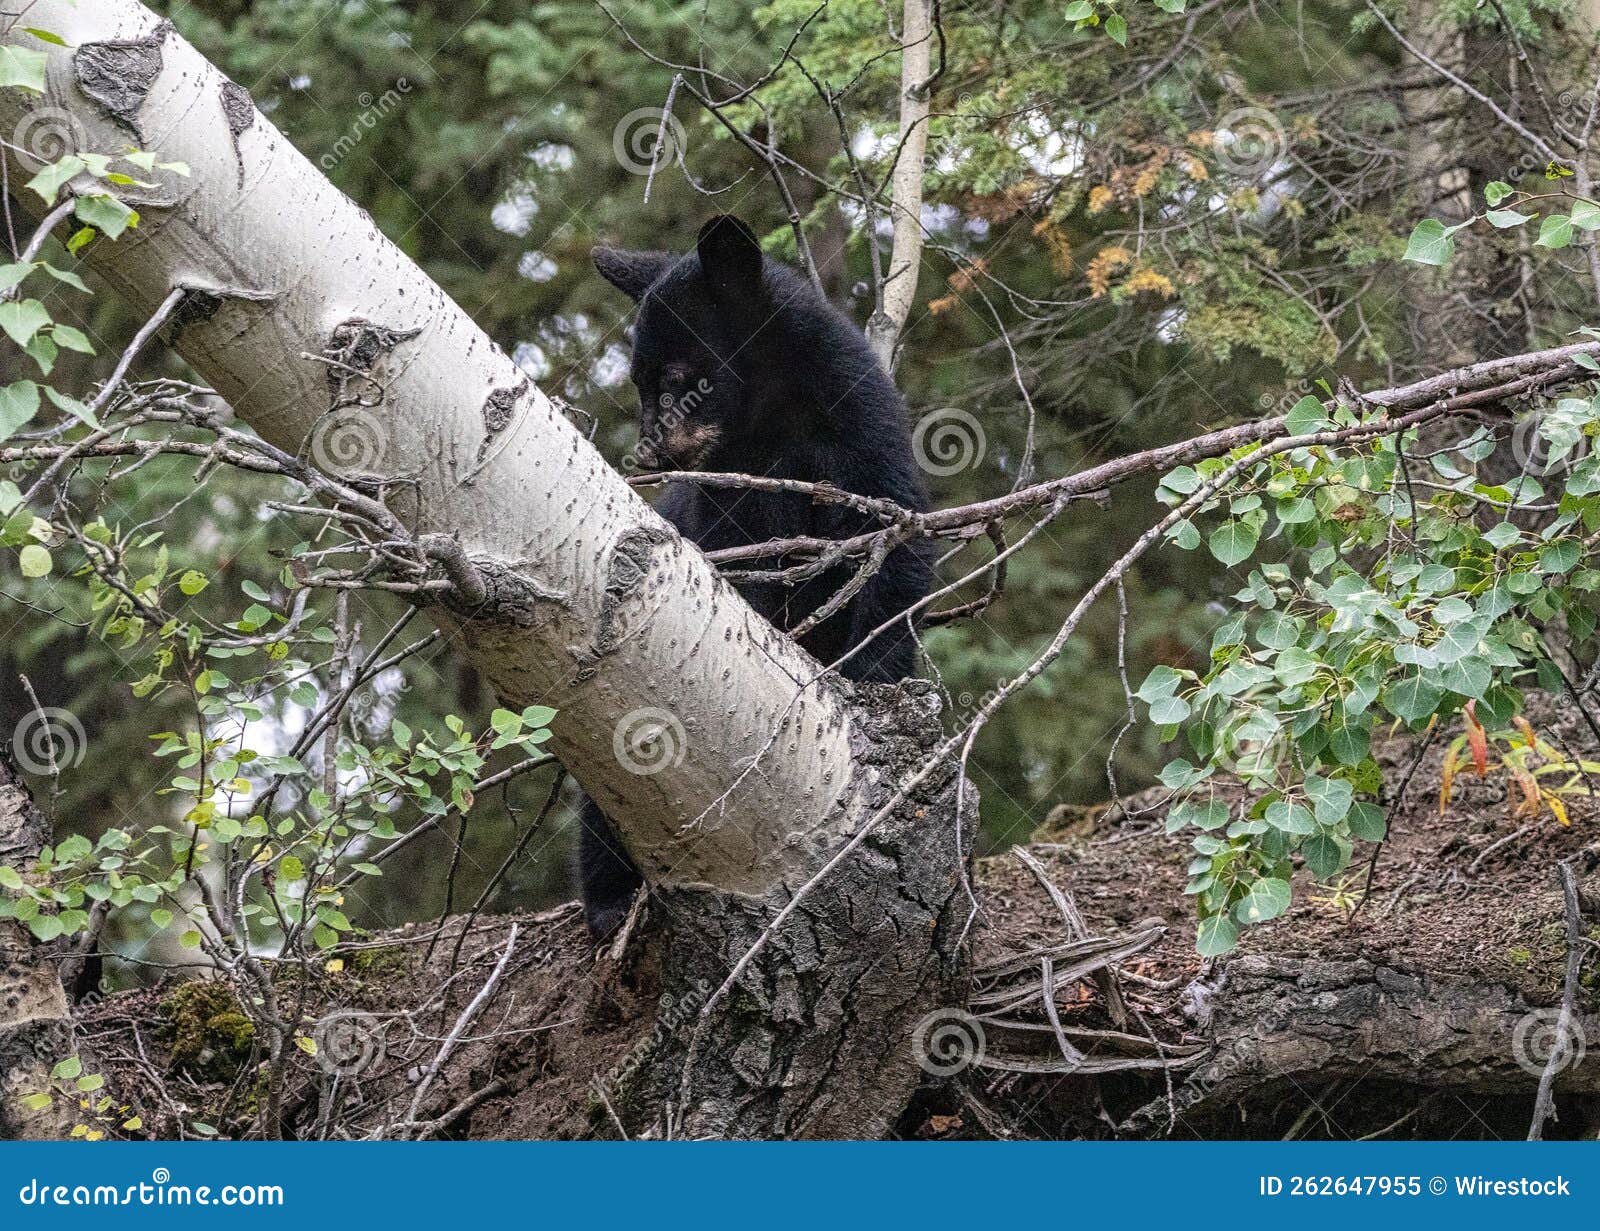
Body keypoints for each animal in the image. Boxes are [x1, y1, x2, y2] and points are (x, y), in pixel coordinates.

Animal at [578, 214, 933, 939]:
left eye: (681, 376)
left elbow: (895, 568)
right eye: (636, 381)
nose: (650, 452)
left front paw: (874, 680)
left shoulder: (866, 449)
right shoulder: (728, 501)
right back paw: (610, 898)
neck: (779, 423)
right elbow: (742, 572)